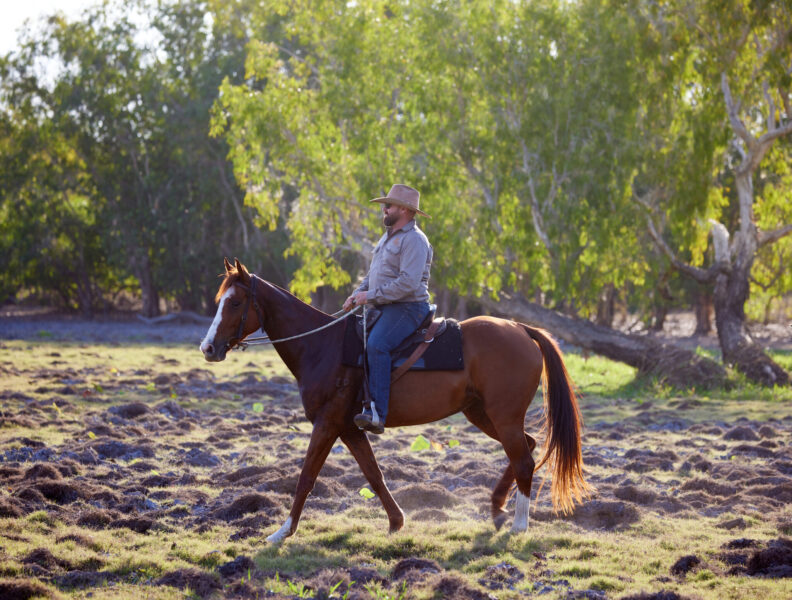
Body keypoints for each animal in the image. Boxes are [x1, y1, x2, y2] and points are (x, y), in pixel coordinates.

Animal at [200, 258, 590, 543]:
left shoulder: (327, 424)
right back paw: (496, 508)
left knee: (524, 459)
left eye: (235, 302)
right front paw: (396, 522)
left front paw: (282, 532)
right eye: (220, 301)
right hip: (482, 414)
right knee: (528, 447)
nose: (208, 348)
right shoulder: (349, 429)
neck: (322, 347)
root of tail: (521, 328)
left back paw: (519, 525)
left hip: (503, 416)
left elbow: (307, 476)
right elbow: (373, 475)